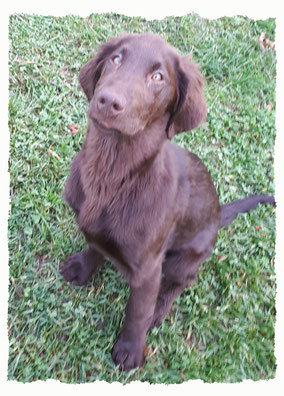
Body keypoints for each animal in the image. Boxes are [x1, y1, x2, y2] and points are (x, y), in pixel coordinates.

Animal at [60, 34, 276, 372]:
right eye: (116, 59)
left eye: (158, 77)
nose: (108, 101)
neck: (112, 171)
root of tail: (218, 213)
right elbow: (95, 245)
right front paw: (82, 268)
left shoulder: (149, 269)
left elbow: (137, 312)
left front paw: (130, 350)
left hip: (185, 257)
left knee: (180, 283)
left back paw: (160, 309)